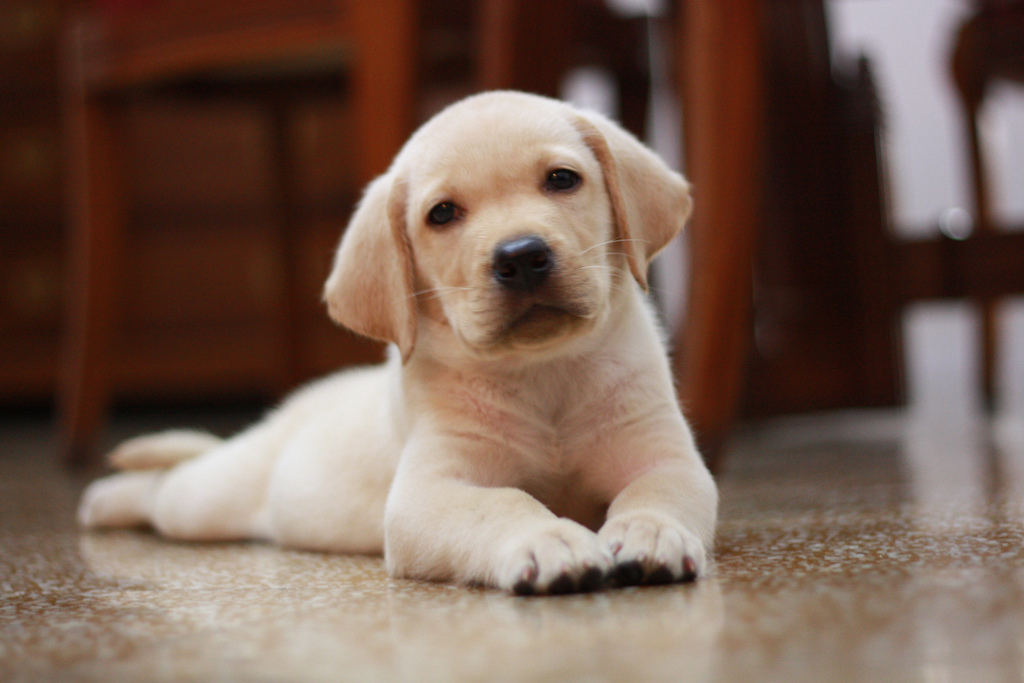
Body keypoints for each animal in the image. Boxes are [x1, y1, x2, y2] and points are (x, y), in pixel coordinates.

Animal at [77, 90, 720, 593]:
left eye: (562, 179)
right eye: (443, 214)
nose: (521, 256)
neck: (543, 373)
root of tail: (292, 411)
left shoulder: (661, 453)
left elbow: (658, 491)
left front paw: (651, 533)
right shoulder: (427, 493)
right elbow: (502, 503)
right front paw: (548, 539)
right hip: (211, 500)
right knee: (166, 488)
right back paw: (105, 498)